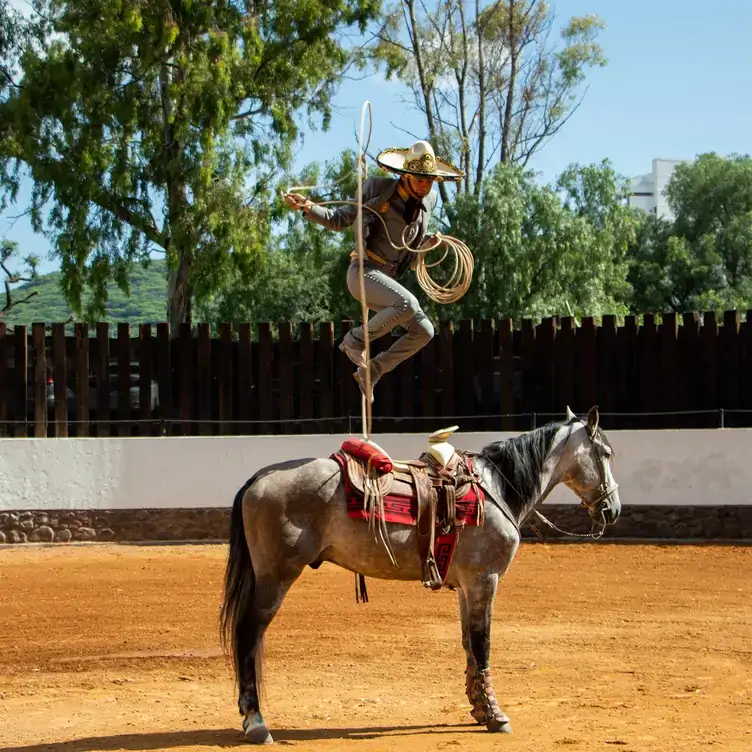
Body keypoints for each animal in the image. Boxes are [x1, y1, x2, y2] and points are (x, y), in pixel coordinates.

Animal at [220, 406, 620, 740]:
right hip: (275, 578)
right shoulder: (484, 580)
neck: (495, 488)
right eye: (605, 453)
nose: (612, 508)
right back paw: (256, 722)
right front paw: (495, 714)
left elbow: (468, 644)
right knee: (247, 635)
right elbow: (483, 643)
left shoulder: (467, 586)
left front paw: (478, 706)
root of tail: (258, 479)